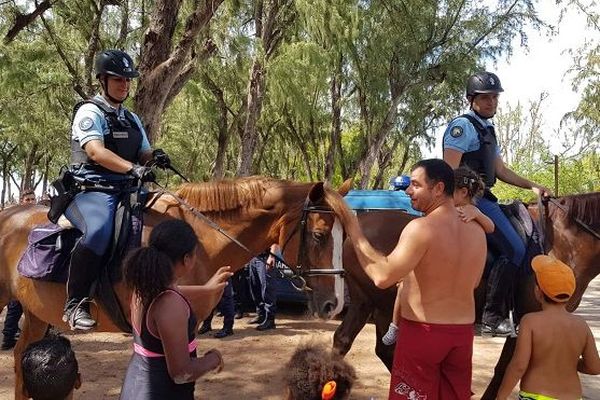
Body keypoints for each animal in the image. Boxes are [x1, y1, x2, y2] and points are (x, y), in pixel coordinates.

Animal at [0, 178, 352, 400]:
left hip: (34, 313)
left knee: (21, 356)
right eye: (320, 235)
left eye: (345, 236)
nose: (333, 304)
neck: (196, 240)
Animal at [322, 192, 600, 398]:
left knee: (349, 341)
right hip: (382, 303)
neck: (562, 242)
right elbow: (505, 369)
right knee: (380, 348)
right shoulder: (526, 320)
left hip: (368, 302)